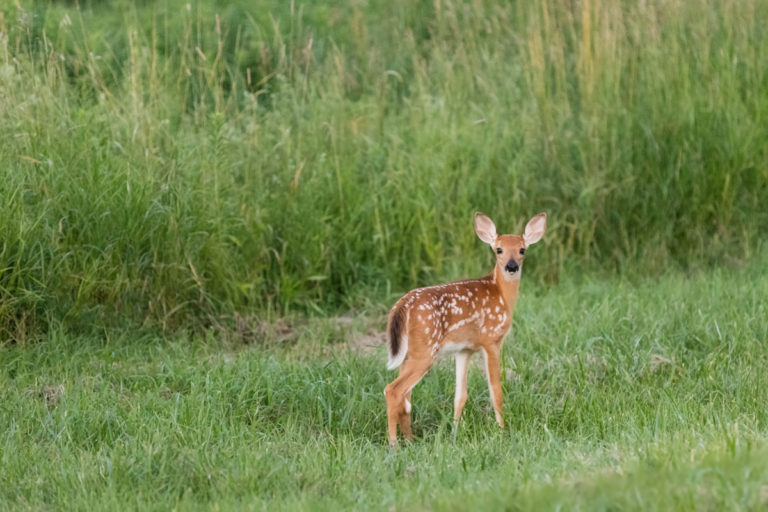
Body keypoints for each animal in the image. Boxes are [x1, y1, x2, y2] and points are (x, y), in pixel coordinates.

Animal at [384, 212, 546, 446]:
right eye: (499, 249)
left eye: (522, 249)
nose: (512, 266)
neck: (502, 294)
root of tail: (402, 305)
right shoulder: (491, 340)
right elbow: (496, 391)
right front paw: (503, 431)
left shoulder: (464, 350)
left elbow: (460, 396)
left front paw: (454, 434)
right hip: (425, 349)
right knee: (393, 390)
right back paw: (393, 444)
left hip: (411, 352)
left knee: (406, 397)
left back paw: (410, 439)